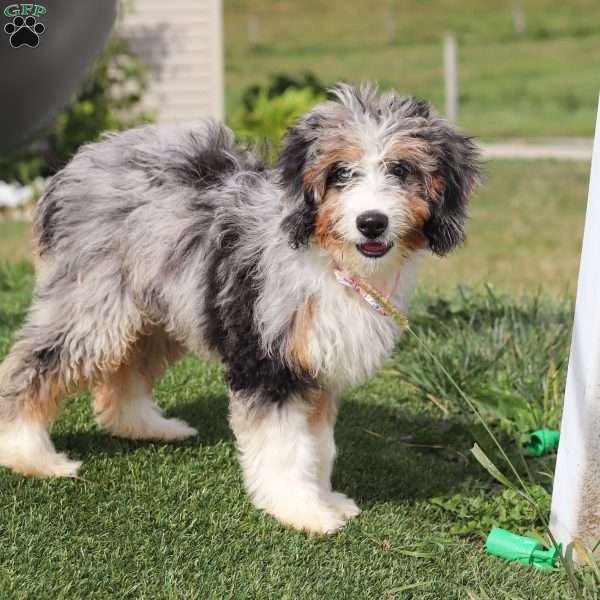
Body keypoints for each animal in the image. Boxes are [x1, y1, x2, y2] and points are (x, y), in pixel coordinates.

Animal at [0, 84, 478, 536]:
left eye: (401, 170)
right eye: (341, 173)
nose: (372, 222)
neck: (328, 258)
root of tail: (72, 168)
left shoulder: (316, 366)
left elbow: (320, 444)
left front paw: (326, 498)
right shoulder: (268, 360)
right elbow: (286, 446)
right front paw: (302, 509)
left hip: (156, 308)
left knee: (124, 372)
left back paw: (146, 426)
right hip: (91, 305)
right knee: (33, 365)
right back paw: (28, 452)